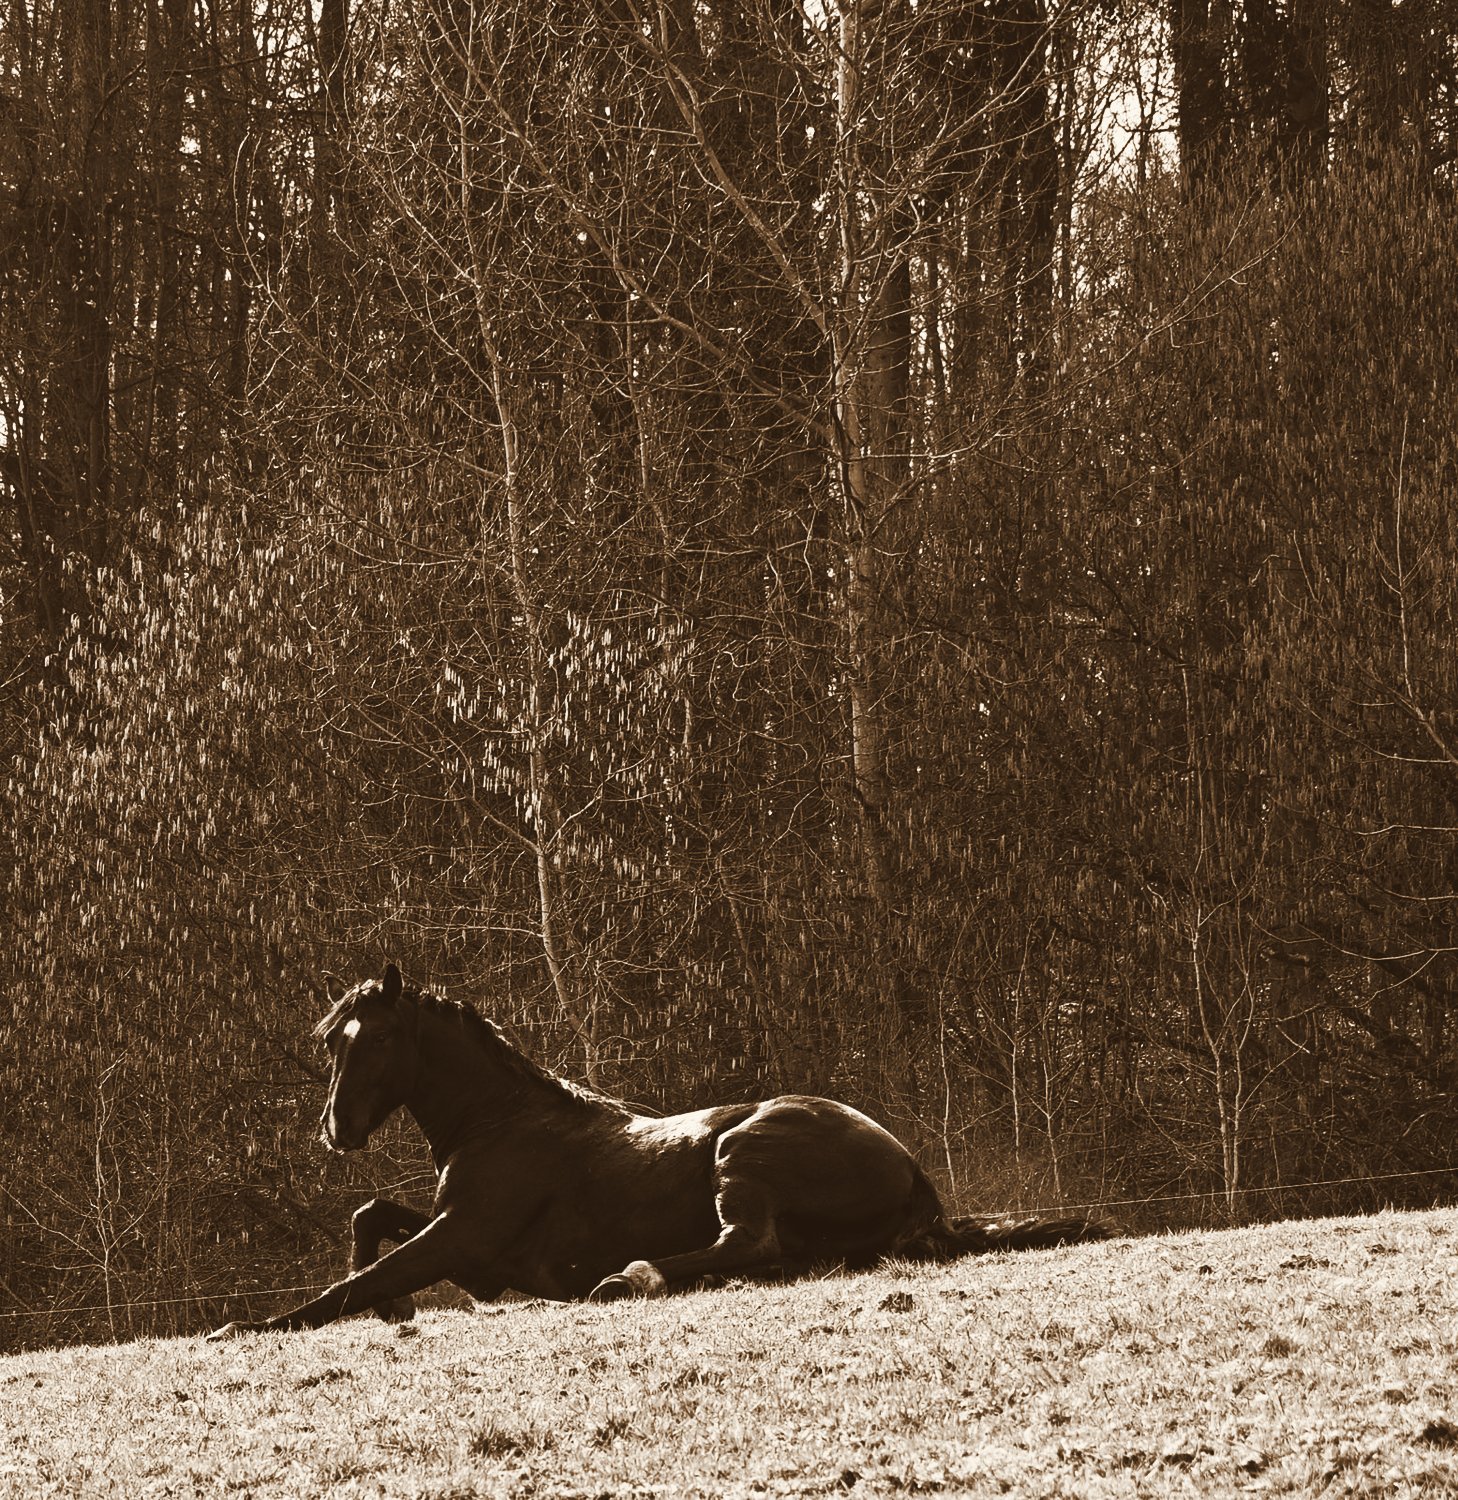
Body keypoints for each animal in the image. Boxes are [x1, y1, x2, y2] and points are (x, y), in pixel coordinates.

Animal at [209, 964, 1109, 1336]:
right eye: (335, 1041)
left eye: (379, 1037)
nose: (336, 1128)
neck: (501, 1121)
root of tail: (914, 1170)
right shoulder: (458, 1237)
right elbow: (370, 1225)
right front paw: (394, 1308)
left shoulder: (462, 1237)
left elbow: (353, 1284)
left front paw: (248, 1329)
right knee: (769, 1257)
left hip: (743, 1149)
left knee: (750, 1242)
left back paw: (627, 1277)